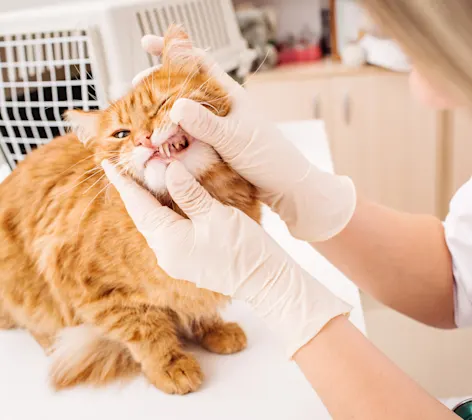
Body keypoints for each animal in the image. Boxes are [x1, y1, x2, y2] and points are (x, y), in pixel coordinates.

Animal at [0, 25, 258, 394]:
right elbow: (145, 331)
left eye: (162, 105)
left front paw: (213, 328)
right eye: (121, 134)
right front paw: (170, 365)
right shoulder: (93, 290)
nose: (144, 139)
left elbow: (198, 305)